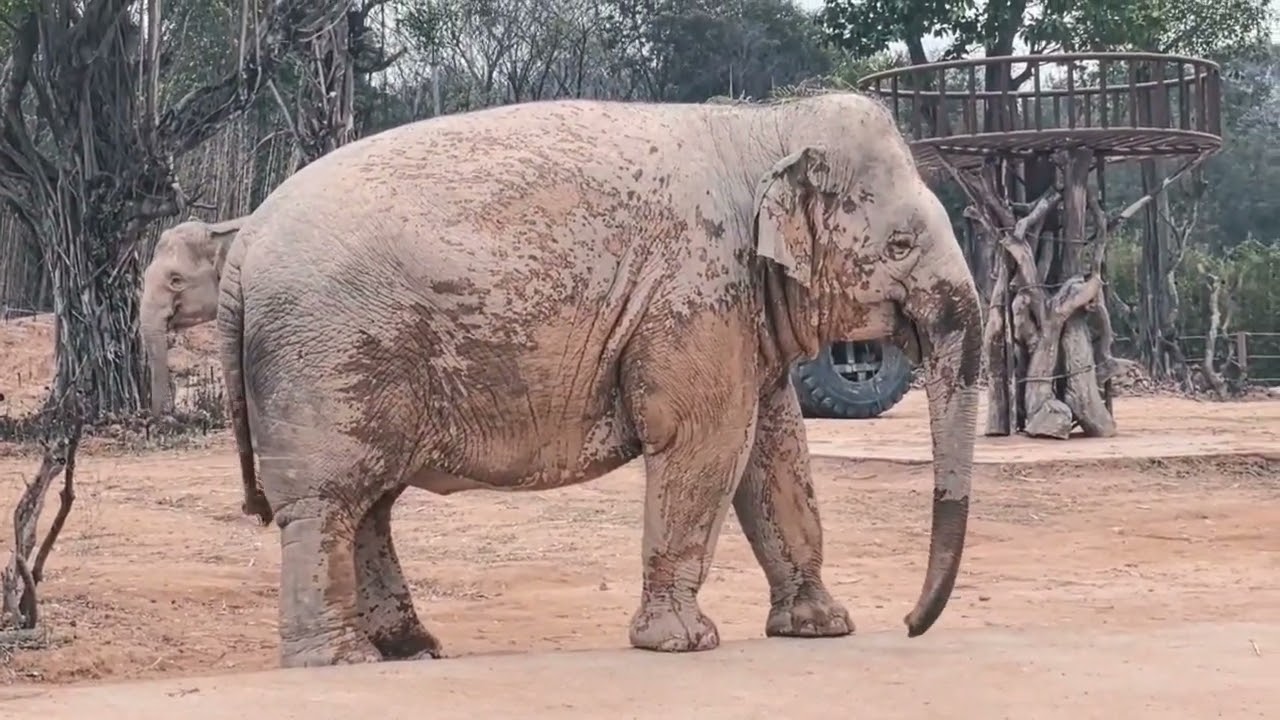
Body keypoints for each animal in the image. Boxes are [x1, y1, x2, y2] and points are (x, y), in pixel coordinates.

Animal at [217, 92, 983, 669]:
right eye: (900, 245)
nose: (910, 624)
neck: (767, 127)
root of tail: (244, 245)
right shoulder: (696, 289)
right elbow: (708, 442)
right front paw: (683, 643)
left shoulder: (735, 309)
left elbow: (776, 450)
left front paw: (821, 627)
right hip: (325, 356)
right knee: (327, 503)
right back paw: (340, 661)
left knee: (369, 503)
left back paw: (411, 650)